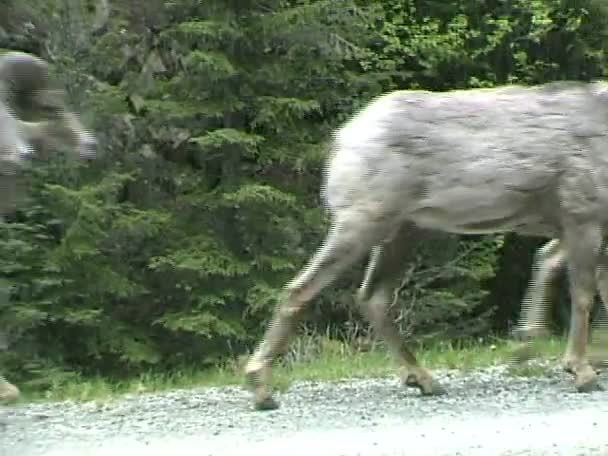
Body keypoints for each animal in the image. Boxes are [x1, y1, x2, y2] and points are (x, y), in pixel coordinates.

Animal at [246, 81, 608, 410]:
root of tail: (342, 140)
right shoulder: (582, 217)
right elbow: (584, 296)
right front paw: (582, 373)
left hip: (404, 230)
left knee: (372, 297)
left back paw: (424, 380)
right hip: (364, 220)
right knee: (301, 289)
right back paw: (262, 390)